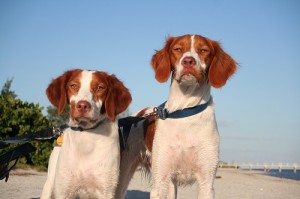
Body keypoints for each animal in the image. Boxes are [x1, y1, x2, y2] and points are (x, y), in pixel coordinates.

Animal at [41, 69, 131, 198]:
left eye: (99, 87)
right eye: (73, 85)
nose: (83, 105)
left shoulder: (106, 191)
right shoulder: (64, 191)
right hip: (49, 186)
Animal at [117, 34, 237, 199]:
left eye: (204, 50)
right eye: (178, 49)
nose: (188, 61)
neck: (184, 111)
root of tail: (139, 114)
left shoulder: (206, 182)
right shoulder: (160, 180)